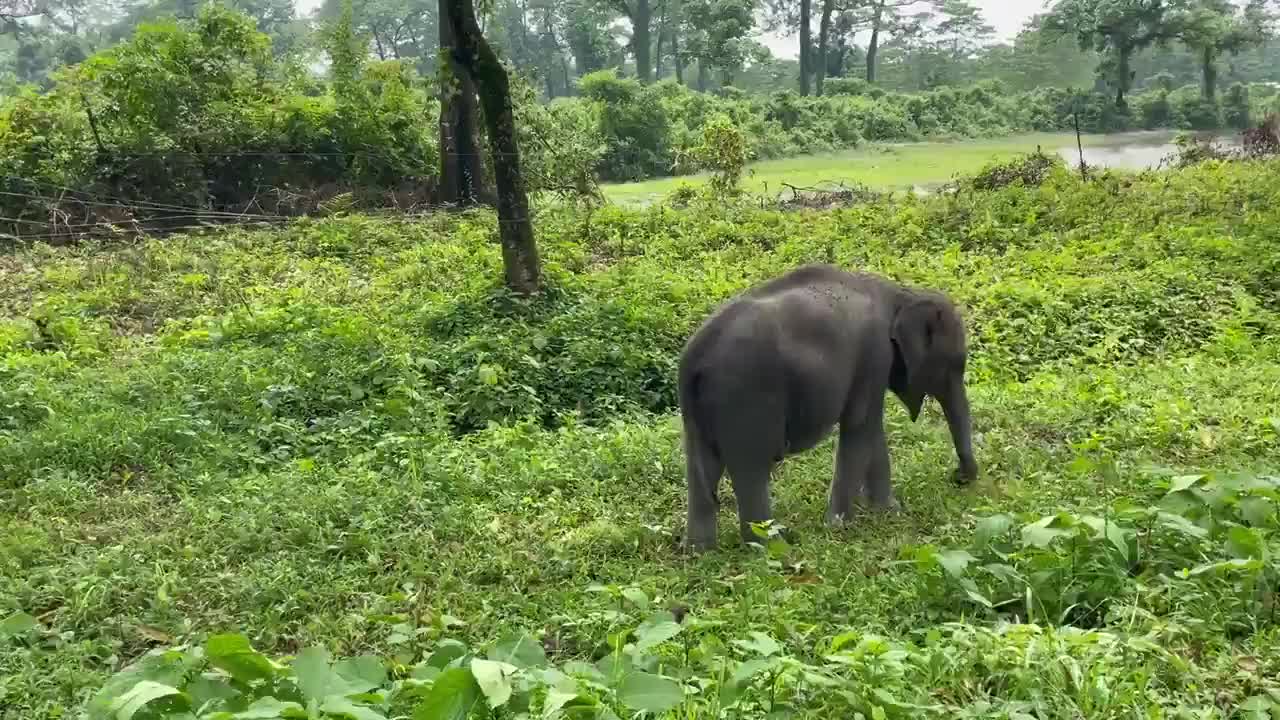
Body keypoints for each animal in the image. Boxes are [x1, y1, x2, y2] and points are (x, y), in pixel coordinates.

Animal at [680, 263, 977, 548]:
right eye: (955, 363)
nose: (959, 477)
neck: (902, 293)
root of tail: (692, 360)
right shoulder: (874, 353)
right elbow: (860, 426)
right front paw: (839, 526)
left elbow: (872, 430)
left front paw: (888, 512)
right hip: (745, 395)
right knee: (751, 469)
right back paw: (773, 545)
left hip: (699, 411)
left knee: (701, 469)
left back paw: (700, 551)